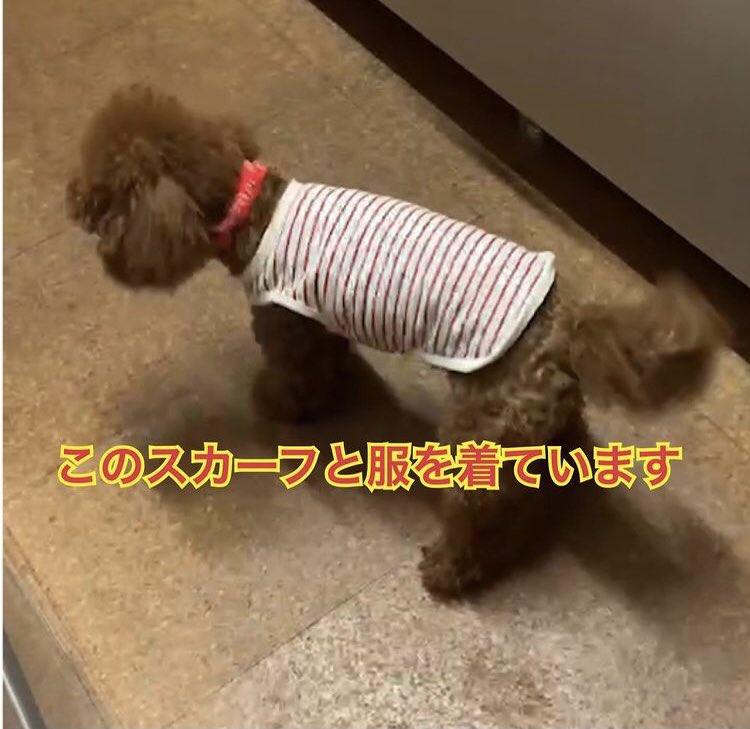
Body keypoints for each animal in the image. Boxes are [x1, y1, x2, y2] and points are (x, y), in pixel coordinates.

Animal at [66, 85, 727, 597]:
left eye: (102, 189)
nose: (70, 198)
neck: (250, 208)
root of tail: (563, 326)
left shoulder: (286, 320)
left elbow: (297, 378)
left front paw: (279, 407)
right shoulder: (318, 317)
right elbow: (330, 358)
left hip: (480, 431)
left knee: (481, 519)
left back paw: (449, 572)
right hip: (533, 425)